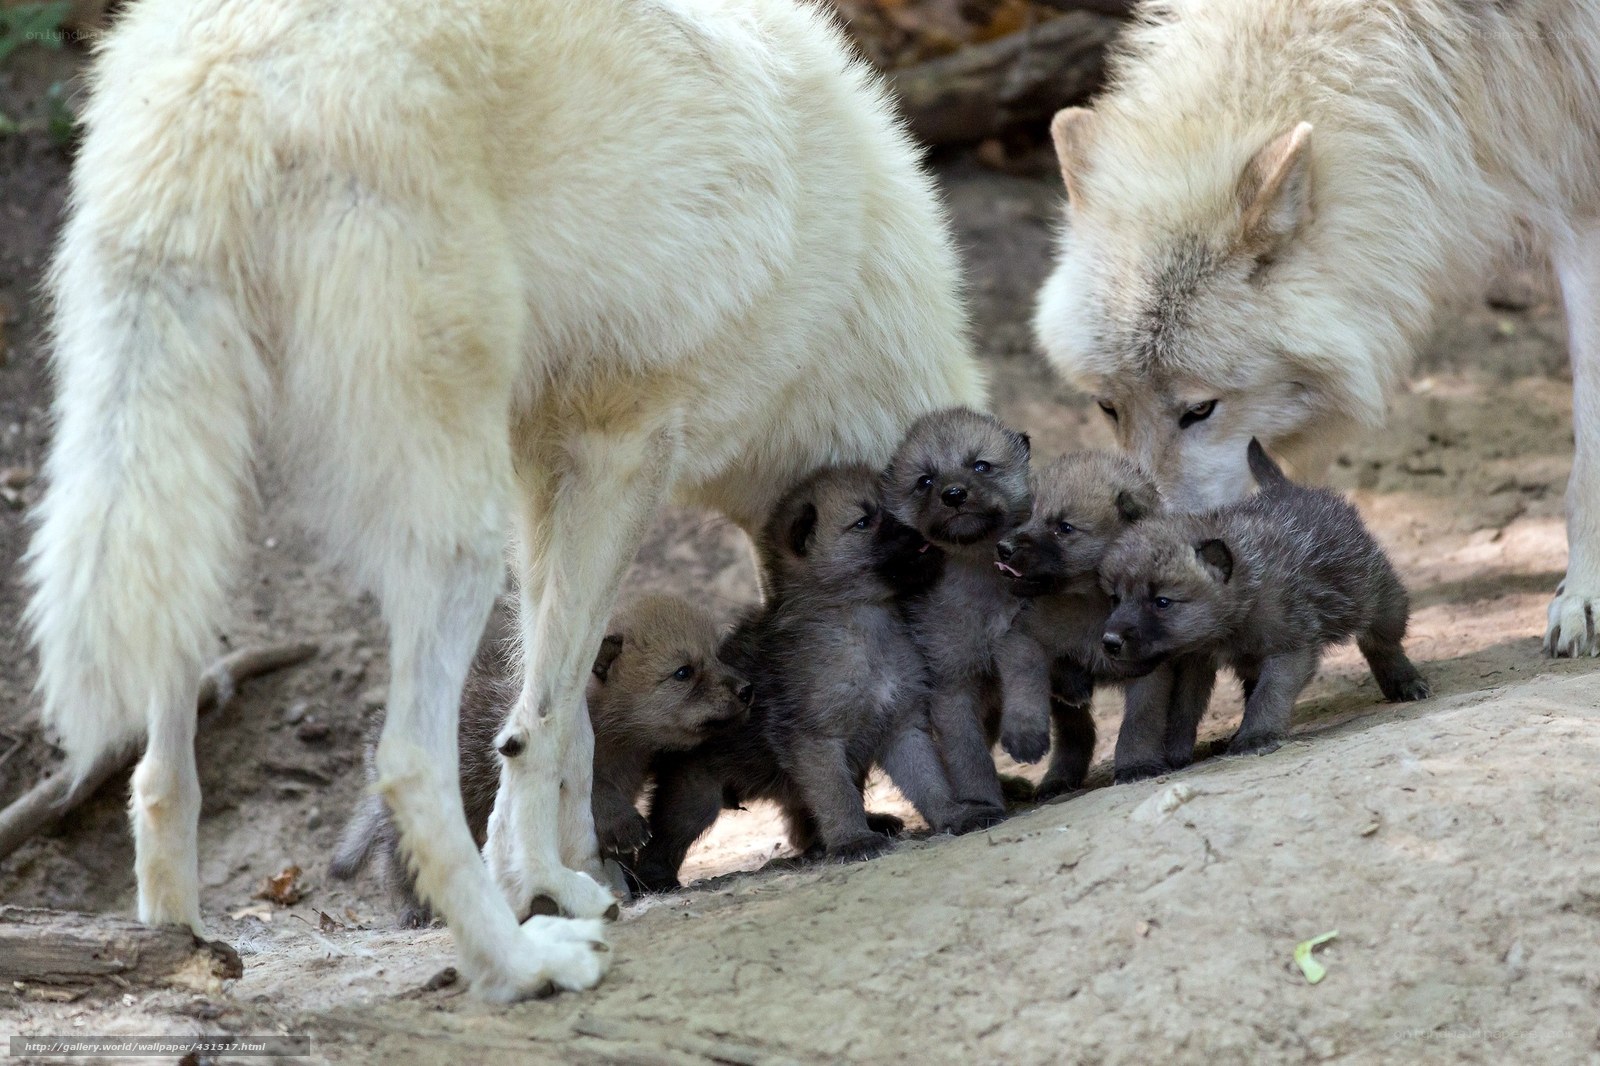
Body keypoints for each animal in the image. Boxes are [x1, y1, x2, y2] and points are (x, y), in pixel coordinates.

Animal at [330, 595, 750, 927]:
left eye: (717, 655)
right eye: (683, 672)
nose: (746, 688)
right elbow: (596, 796)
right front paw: (627, 832)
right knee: (400, 866)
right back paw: (415, 913)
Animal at [634, 464, 959, 891]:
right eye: (864, 521)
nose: (922, 527)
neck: (862, 623)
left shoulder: (902, 727)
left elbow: (929, 779)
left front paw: (956, 815)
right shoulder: (815, 741)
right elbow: (836, 795)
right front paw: (853, 840)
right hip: (693, 797)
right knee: (662, 842)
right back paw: (653, 880)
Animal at [1033, 0, 1600, 657]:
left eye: (1200, 410)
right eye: (1108, 408)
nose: (1133, 563)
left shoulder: (1580, 196)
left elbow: (1588, 453)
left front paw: (1583, 596)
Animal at [1098, 440, 1430, 777]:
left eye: (1162, 602)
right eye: (1115, 598)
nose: (1109, 642)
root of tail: (1285, 487)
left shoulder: (1290, 649)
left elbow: (1269, 696)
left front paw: (1256, 736)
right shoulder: (1196, 661)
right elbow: (1183, 709)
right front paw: (1174, 751)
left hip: (1380, 599)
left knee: (1382, 642)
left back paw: (1404, 681)